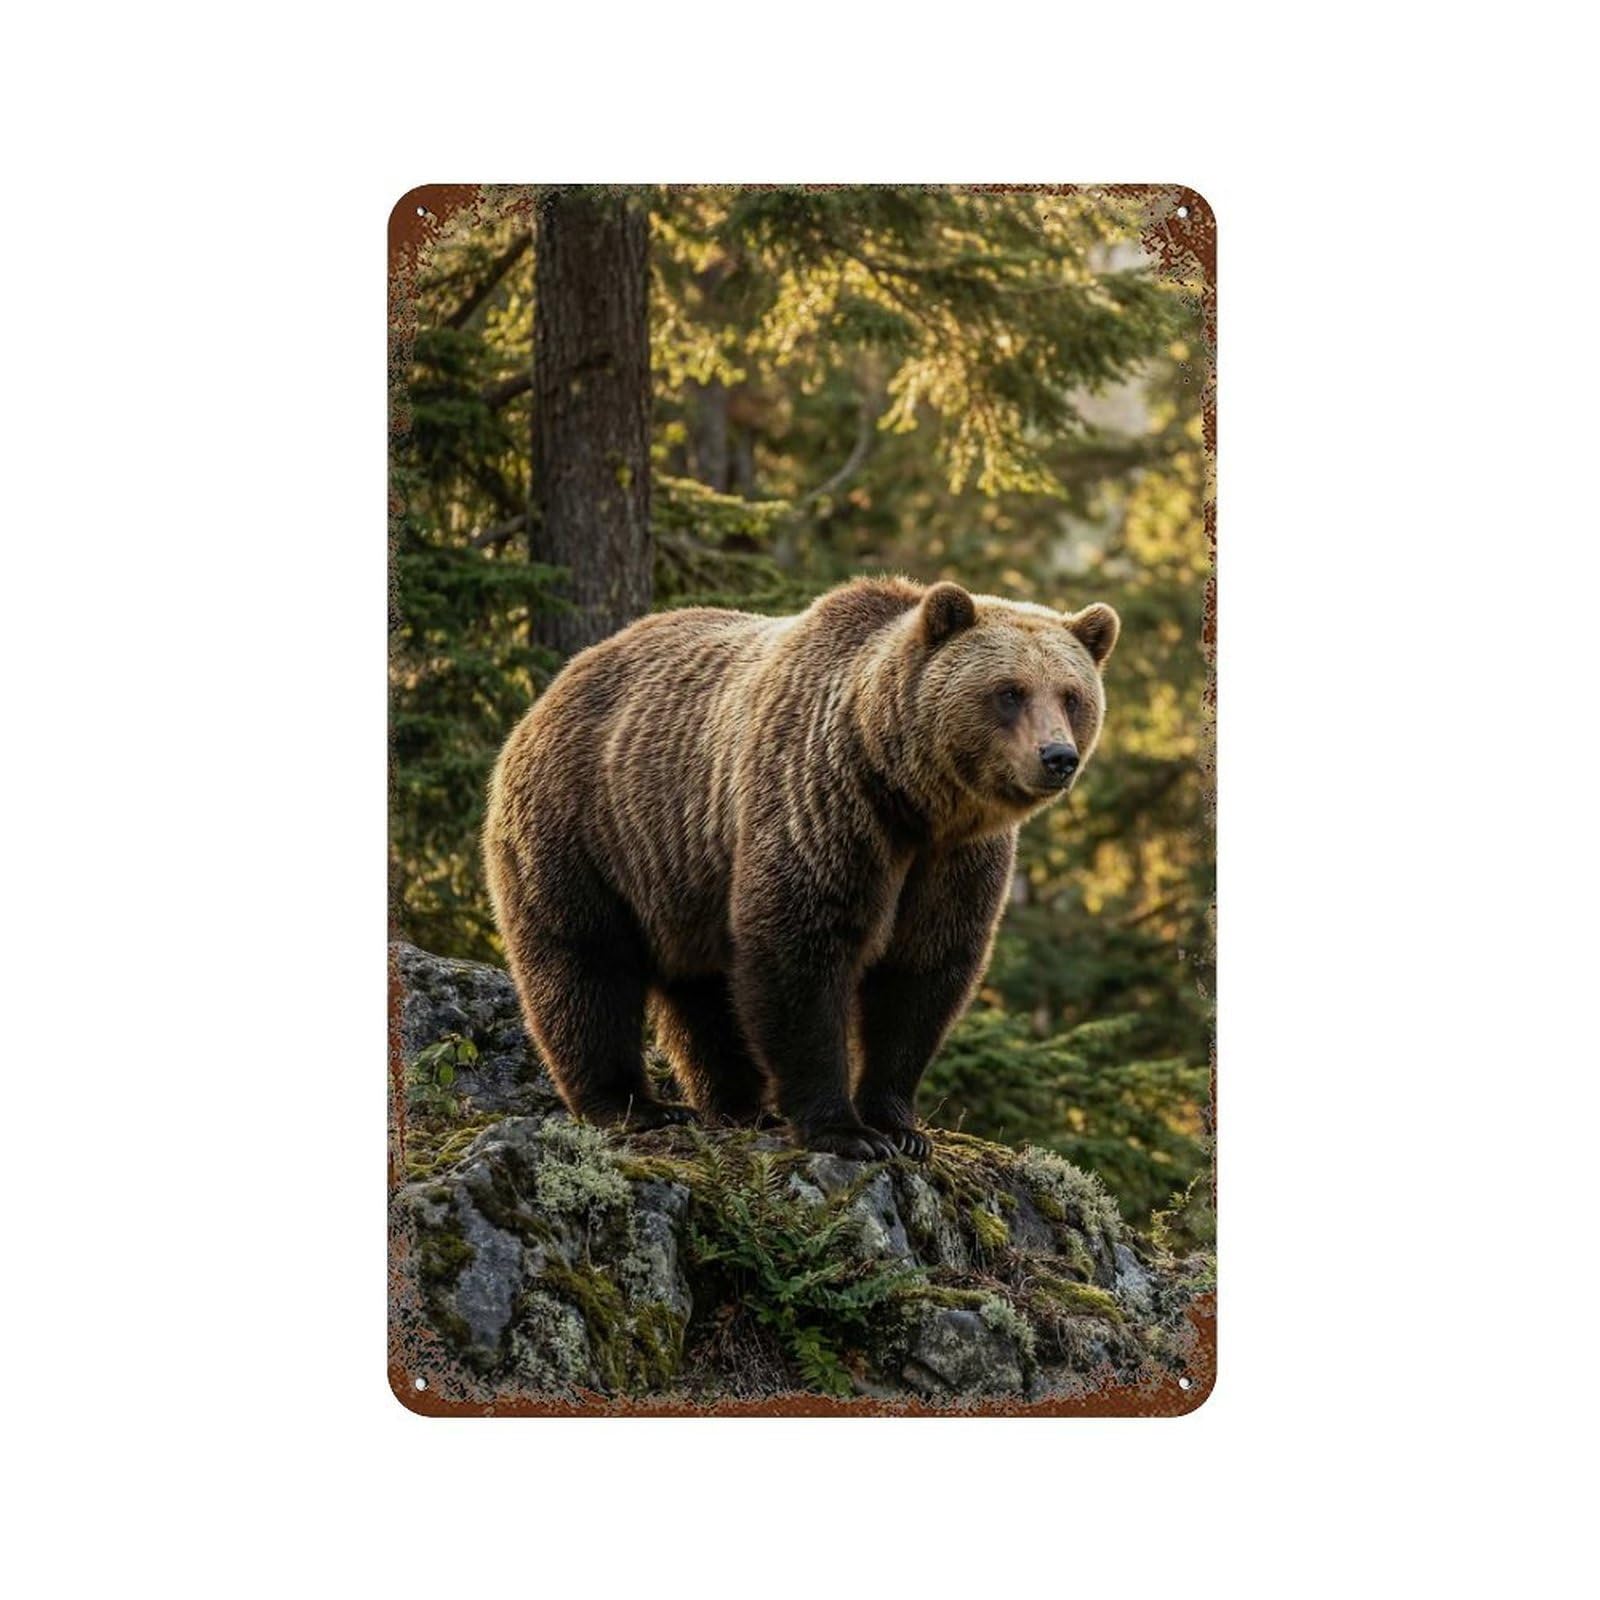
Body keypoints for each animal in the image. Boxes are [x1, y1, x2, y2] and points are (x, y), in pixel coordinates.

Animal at [483, 576, 1119, 1161]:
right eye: (1009, 691)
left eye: (1071, 695)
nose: (1058, 757)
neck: (910, 797)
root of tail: (555, 686)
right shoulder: (823, 805)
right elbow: (800, 952)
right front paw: (845, 1131)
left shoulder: (954, 862)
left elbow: (924, 971)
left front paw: (899, 1125)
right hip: (587, 828)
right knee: (586, 963)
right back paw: (633, 1105)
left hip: (683, 877)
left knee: (704, 992)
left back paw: (739, 1105)